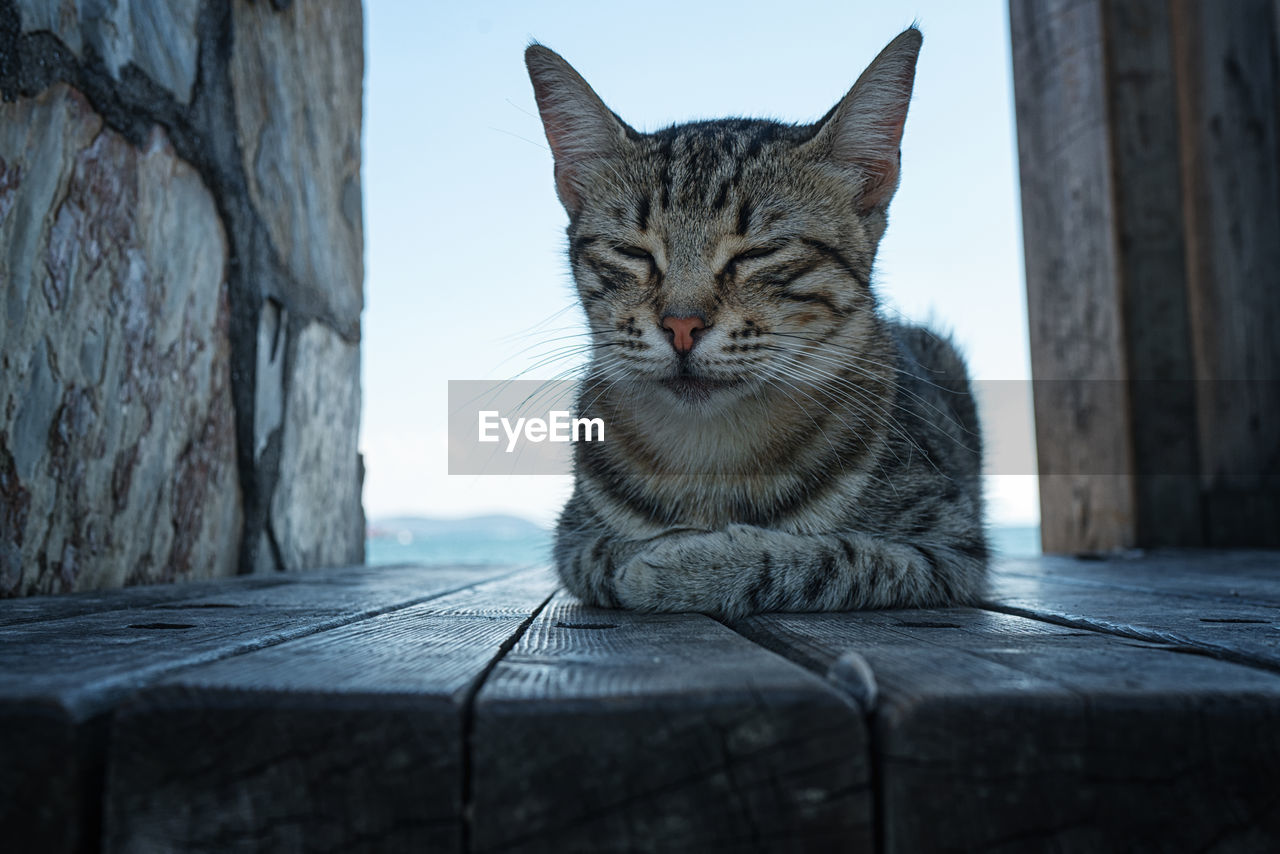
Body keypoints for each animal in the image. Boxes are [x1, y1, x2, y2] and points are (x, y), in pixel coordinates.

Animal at [524, 26, 983, 614]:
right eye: (633, 253)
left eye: (758, 252)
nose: (681, 326)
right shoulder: (572, 536)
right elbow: (600, 555)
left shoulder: (951, 548)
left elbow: (833, 557)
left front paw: (694, 564)